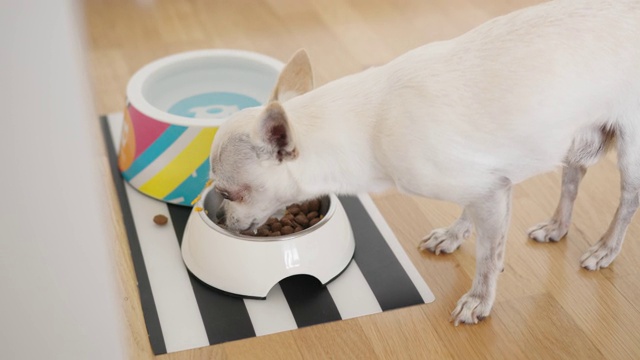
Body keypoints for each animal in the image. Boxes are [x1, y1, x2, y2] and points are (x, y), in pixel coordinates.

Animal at [208, 0, 636, 324]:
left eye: (228, 193)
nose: (222, 220)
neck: (366, 127)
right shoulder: (489, 182)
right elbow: (474, 219)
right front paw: (454, 235)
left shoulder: (489, 191)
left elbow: (488, 254)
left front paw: (480, 298)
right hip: (575, 138)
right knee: (572, 179)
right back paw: (557, 226)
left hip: (630, 148)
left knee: (627, 202)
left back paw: (606, 248)